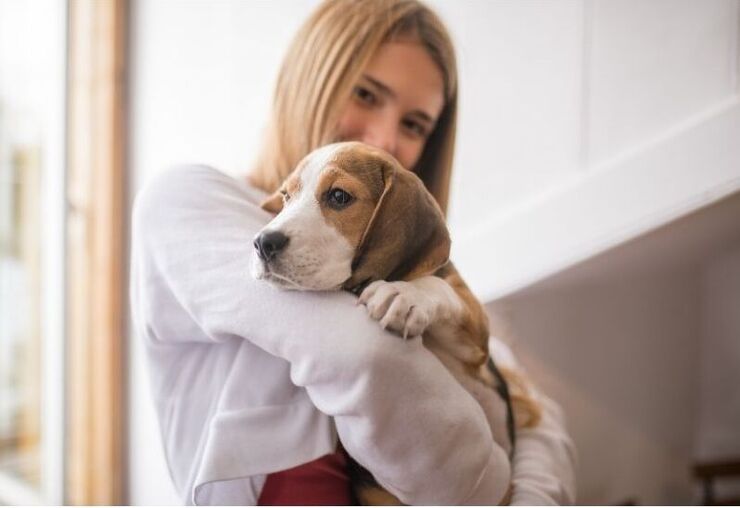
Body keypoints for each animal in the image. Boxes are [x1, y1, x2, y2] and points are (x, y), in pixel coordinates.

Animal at [253, 141, 536, 506]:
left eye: (339, 197)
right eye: (286, 197)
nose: (262, 242)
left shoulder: (476, 340)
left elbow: (437, 286)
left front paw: (403, 293)